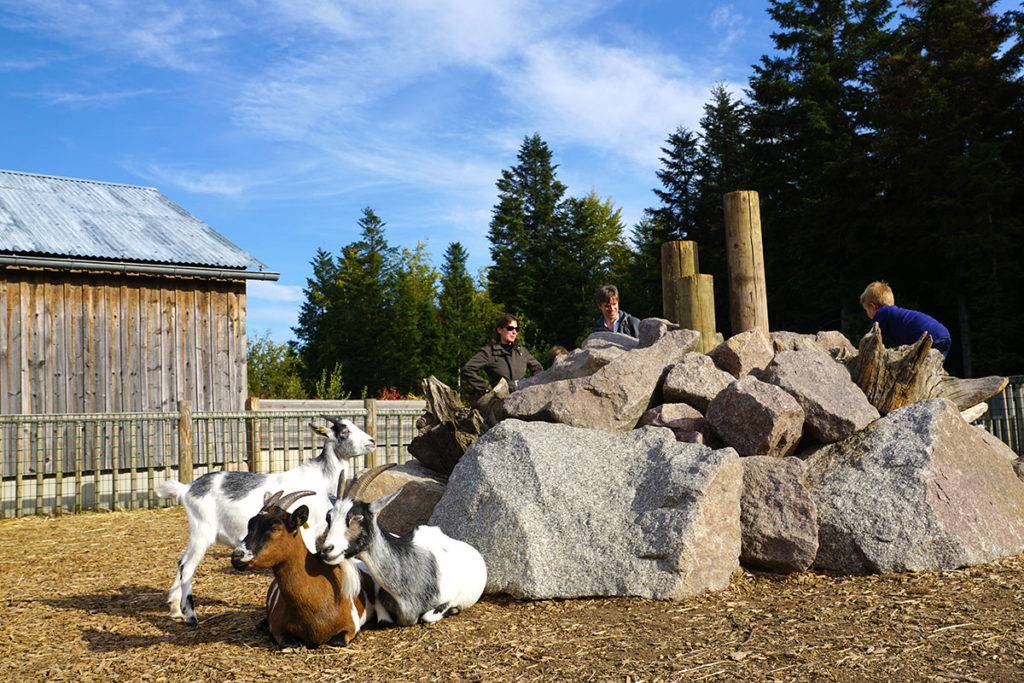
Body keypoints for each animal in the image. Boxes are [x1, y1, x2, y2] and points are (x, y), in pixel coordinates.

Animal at [155, 413, 372, 626]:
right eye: (344, 431)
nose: (372, 441)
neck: (320, 479)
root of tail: (186, 489)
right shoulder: (307, 532)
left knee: (180, 562)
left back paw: (175, 609)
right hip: (202, 533)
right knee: (187, 566)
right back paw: (191, 616)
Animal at [230, 491, 378, 647]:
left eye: (275, 528)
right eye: (250, 525)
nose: (237, 556)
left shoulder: (350, 626)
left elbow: (337, 641)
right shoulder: (277, 627)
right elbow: (288, 644)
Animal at [315, 464, 487, 626]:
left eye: (357, 517)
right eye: (329, 517)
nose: (326, 550)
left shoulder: (451, 597)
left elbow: (428, 616)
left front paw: (454, 610)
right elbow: (384, 619)